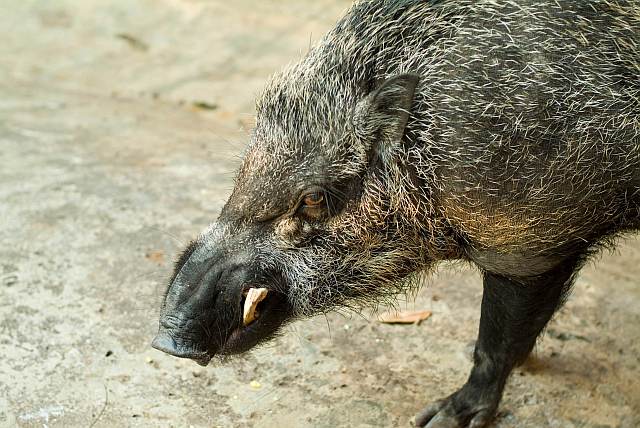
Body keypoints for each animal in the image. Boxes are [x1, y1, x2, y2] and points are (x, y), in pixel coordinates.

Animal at [152, 0, 640, 426]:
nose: (165, 340)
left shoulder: (527, 240)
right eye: (244, 170)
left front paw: (440, 418)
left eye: (314, 198)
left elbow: (496, 341)